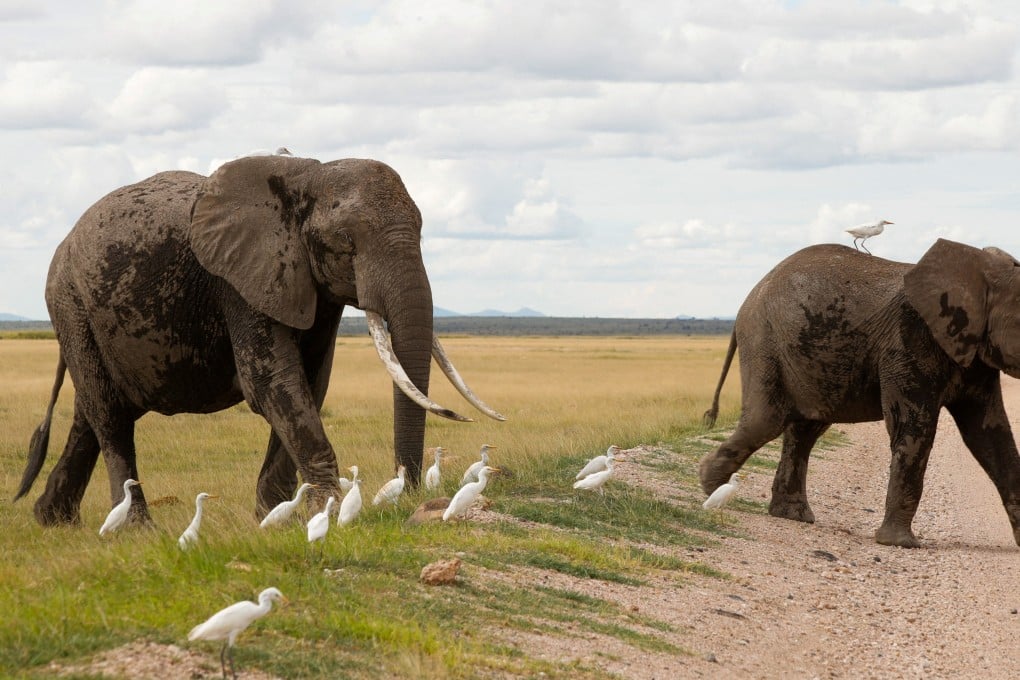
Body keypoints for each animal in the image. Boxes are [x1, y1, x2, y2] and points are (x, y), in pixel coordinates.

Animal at [15, 154, 504, 526]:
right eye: (346, 241)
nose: (411, 493)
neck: (306, 176)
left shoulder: (310, 285)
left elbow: (310, 383)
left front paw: (274, 519)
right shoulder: (239, 283)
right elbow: (272, 383)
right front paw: (320, 512)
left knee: (91, 414)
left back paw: (52, 520)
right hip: (70, 302)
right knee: (110, 415)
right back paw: (135, 529)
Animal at [701, 239, 1020, 548]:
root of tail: (748, 299)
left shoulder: (975, 355)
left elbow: (989, 435)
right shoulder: (908, 340)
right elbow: (914, 429)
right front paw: (900, 544)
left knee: (805, 429)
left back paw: (791, 515)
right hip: (764, 341)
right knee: (767, 420)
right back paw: (710, 486)